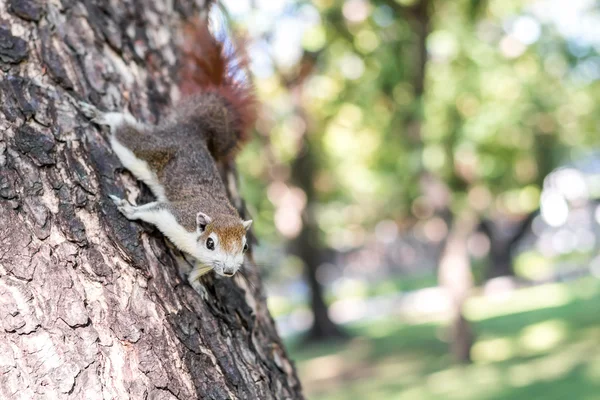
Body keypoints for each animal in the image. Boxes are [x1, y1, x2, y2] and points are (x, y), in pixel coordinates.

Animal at [78, 14, 255, 284]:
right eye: (211, 243)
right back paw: (103, 116)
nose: (228, 271)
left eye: (244, 247)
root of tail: (192, 129)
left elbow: (199, 270)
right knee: (125, 132)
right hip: (150, 148)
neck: (195, 240)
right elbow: (153, 209)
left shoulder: (204, 260)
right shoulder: (176, 216)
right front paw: (129, 209)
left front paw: (195, 283)